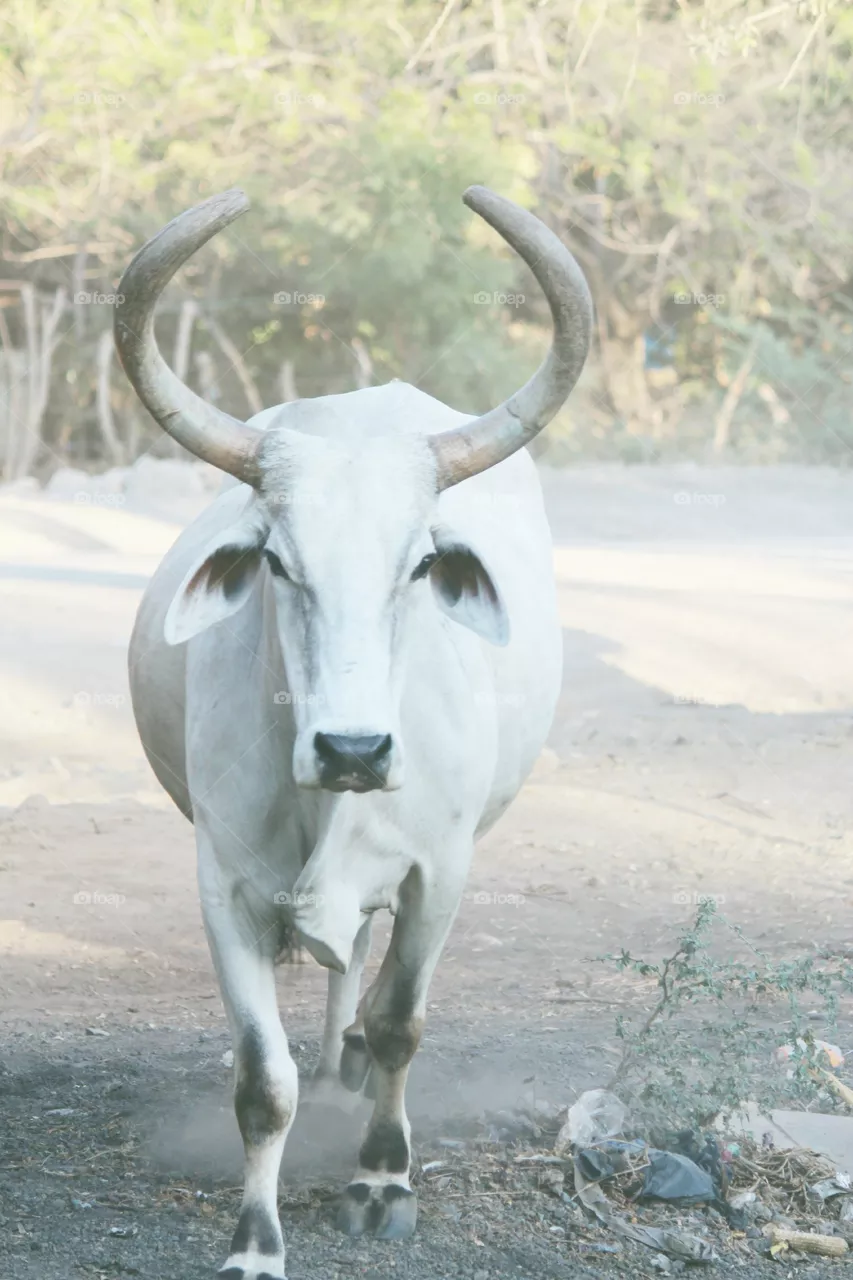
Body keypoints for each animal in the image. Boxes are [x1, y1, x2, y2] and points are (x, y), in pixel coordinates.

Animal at [116, 184, 591, 1280]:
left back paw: (358, 1062)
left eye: (419, 564)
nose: (354, 751)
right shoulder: (222, 886)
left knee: (370, 984)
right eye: (276, 561)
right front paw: (255, 1241)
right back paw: (336, 1055)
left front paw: (380, 1178)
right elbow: (263, 1080)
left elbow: (403, 1018)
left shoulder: (439, 871)